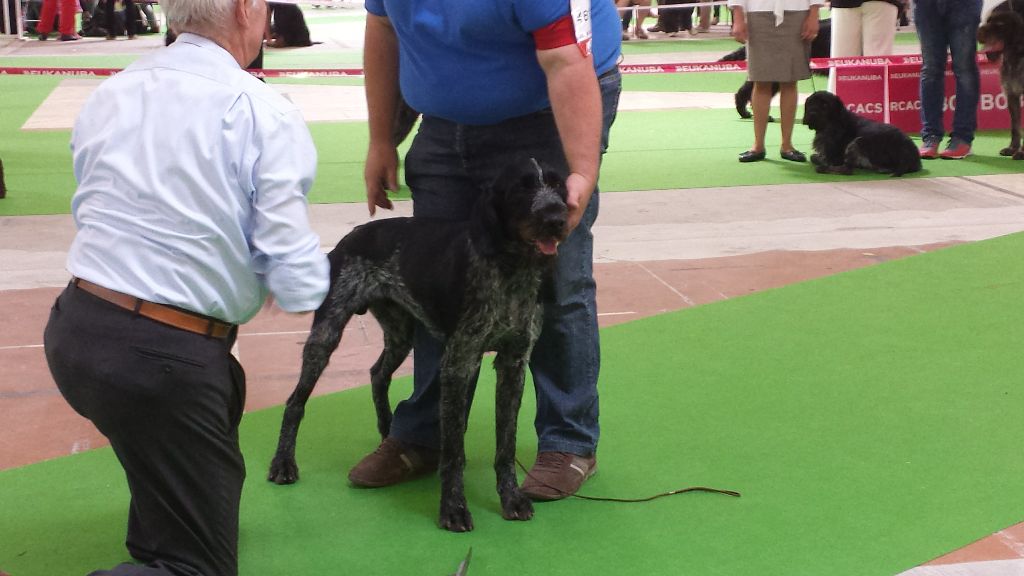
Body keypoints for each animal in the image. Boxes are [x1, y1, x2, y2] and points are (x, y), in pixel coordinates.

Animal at [266, 155, 569, 528]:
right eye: (521, 188)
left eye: (558, 185)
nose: (557, 219)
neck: (512, 268)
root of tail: (350, 237)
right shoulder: (459, 362)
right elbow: (453, 451)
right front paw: (453, 508)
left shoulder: (513, 363)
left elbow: (506, 445)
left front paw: (511, 497)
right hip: (326, 334)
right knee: (295, 401)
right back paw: (283, 463)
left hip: (400, 333)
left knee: (377, 373)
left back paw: (387, 432)